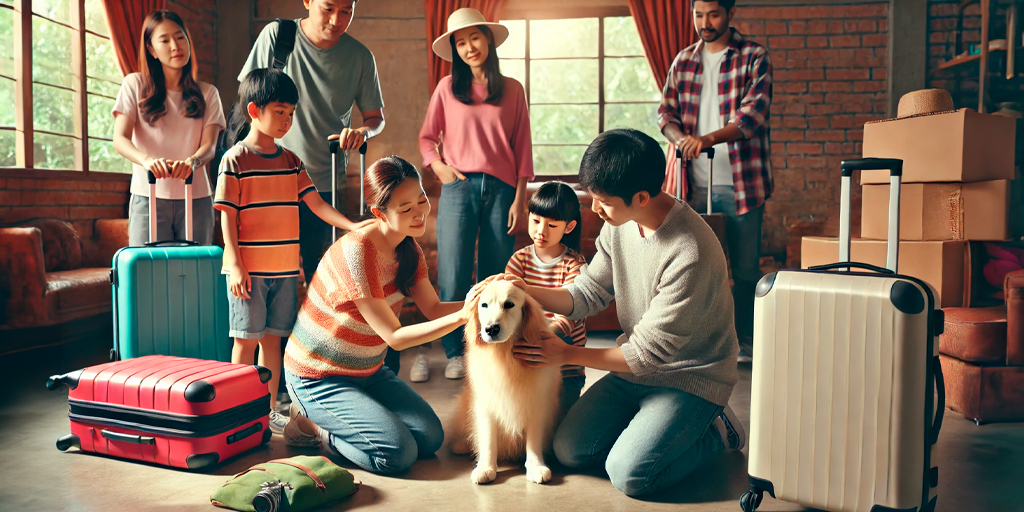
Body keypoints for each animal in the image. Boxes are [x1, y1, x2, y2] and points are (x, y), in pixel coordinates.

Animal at [448, 280, 561, 483]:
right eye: (483, 305)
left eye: (509, 304)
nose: (491, 329)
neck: (504, 355)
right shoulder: (486, 403)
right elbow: (488, 438)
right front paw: (486, 467)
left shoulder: (537, 403)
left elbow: (533, 439)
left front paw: (536, 466)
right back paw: (461, 444)